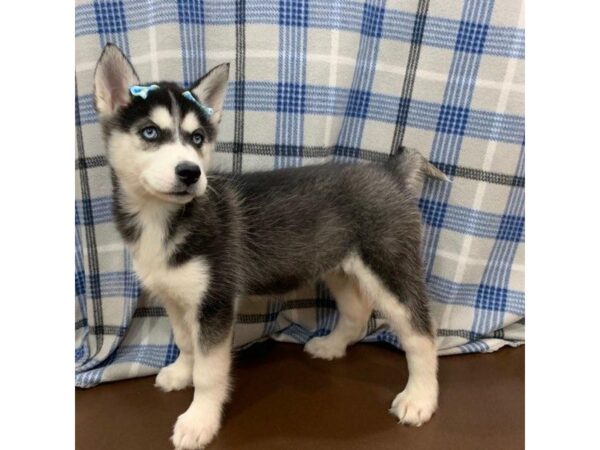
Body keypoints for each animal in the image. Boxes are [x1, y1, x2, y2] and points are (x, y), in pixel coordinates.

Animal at [95, 43, 446, 450]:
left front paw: (199, 421)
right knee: (358, 312)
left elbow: (210, 372)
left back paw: (420, 398)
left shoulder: (215, 302)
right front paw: (181, 372)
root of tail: (390, 172)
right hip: (336, 264)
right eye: (150, 132)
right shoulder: (176, 297)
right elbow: (185, 341)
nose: (190, 172)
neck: (161, 218)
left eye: (197, 139)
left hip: (389, 266)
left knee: (421, 333)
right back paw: (331, 346)